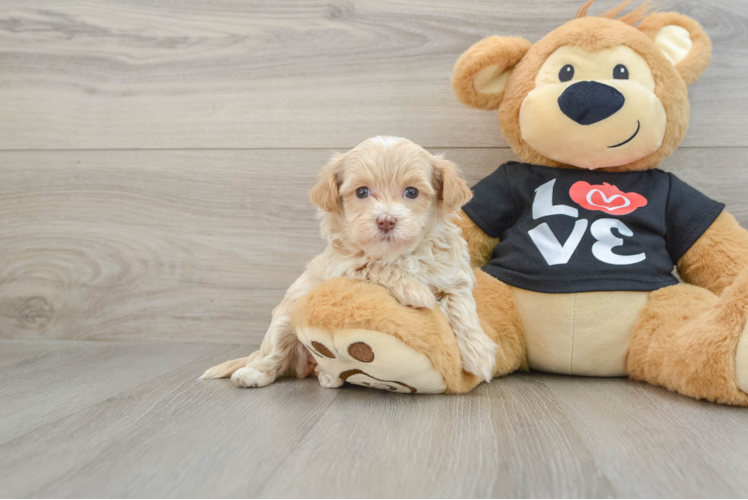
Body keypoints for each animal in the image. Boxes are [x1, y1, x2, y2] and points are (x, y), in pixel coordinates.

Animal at [202, 136, 500, 386]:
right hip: (284, 319)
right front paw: (416, 291)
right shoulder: (342, 269)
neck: (399, 254)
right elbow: (375, 266)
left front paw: (478, 355)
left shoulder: (453, 274)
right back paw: (253, 374)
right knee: (273, 354)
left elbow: (462, 307)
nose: (386, 220)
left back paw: (326, 375)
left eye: (412, 192)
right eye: (362, 192)